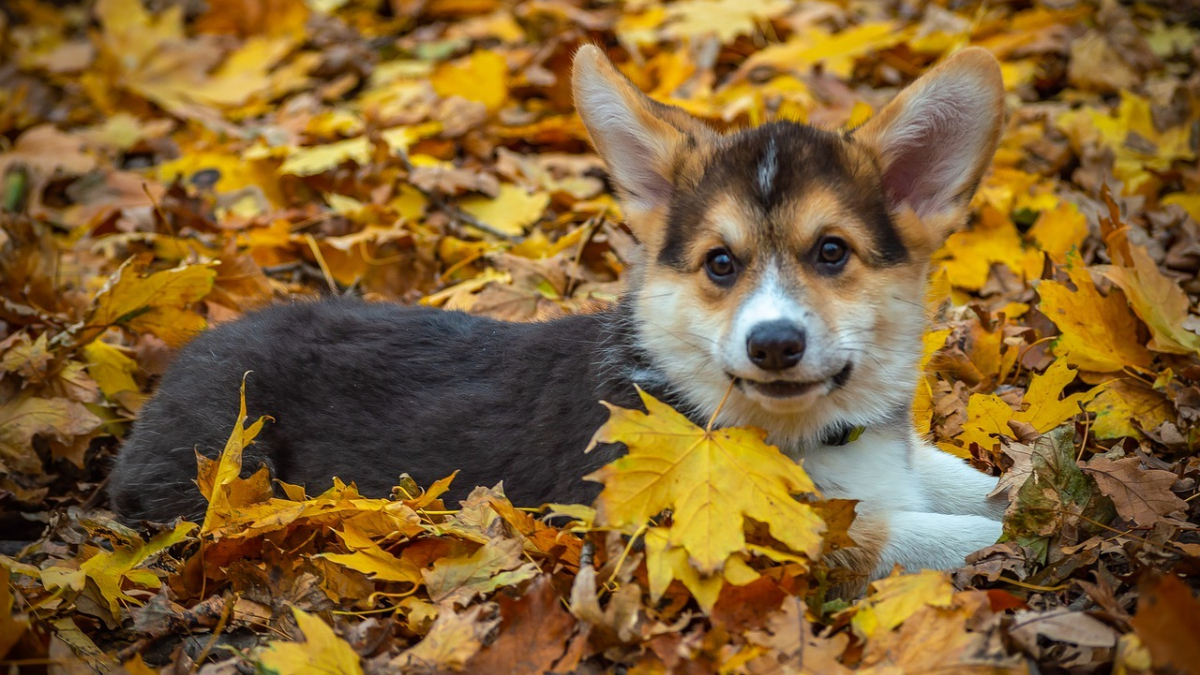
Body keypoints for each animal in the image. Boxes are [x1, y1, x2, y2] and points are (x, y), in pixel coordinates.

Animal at [114, 44, 1012, 576]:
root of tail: (184, 357)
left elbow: (966, 482)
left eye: (831, 252)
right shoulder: (744, 528)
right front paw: (1026, 542)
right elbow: (926, 534)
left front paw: (1026, 486)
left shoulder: (901, 461)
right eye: (720, 264)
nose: (775, 345)